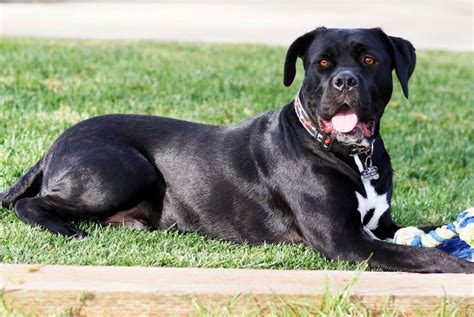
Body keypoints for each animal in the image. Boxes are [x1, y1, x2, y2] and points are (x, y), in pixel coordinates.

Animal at [1, 28, 472, 272]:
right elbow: (424, 255)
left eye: (370, 60)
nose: (344, 81)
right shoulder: (344, 240)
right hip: (124, 170)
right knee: (31, 204)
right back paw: (68, 229)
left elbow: (424, 235)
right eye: (322, 63)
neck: (353, 156)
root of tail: (56, 143)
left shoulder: (381, 225)